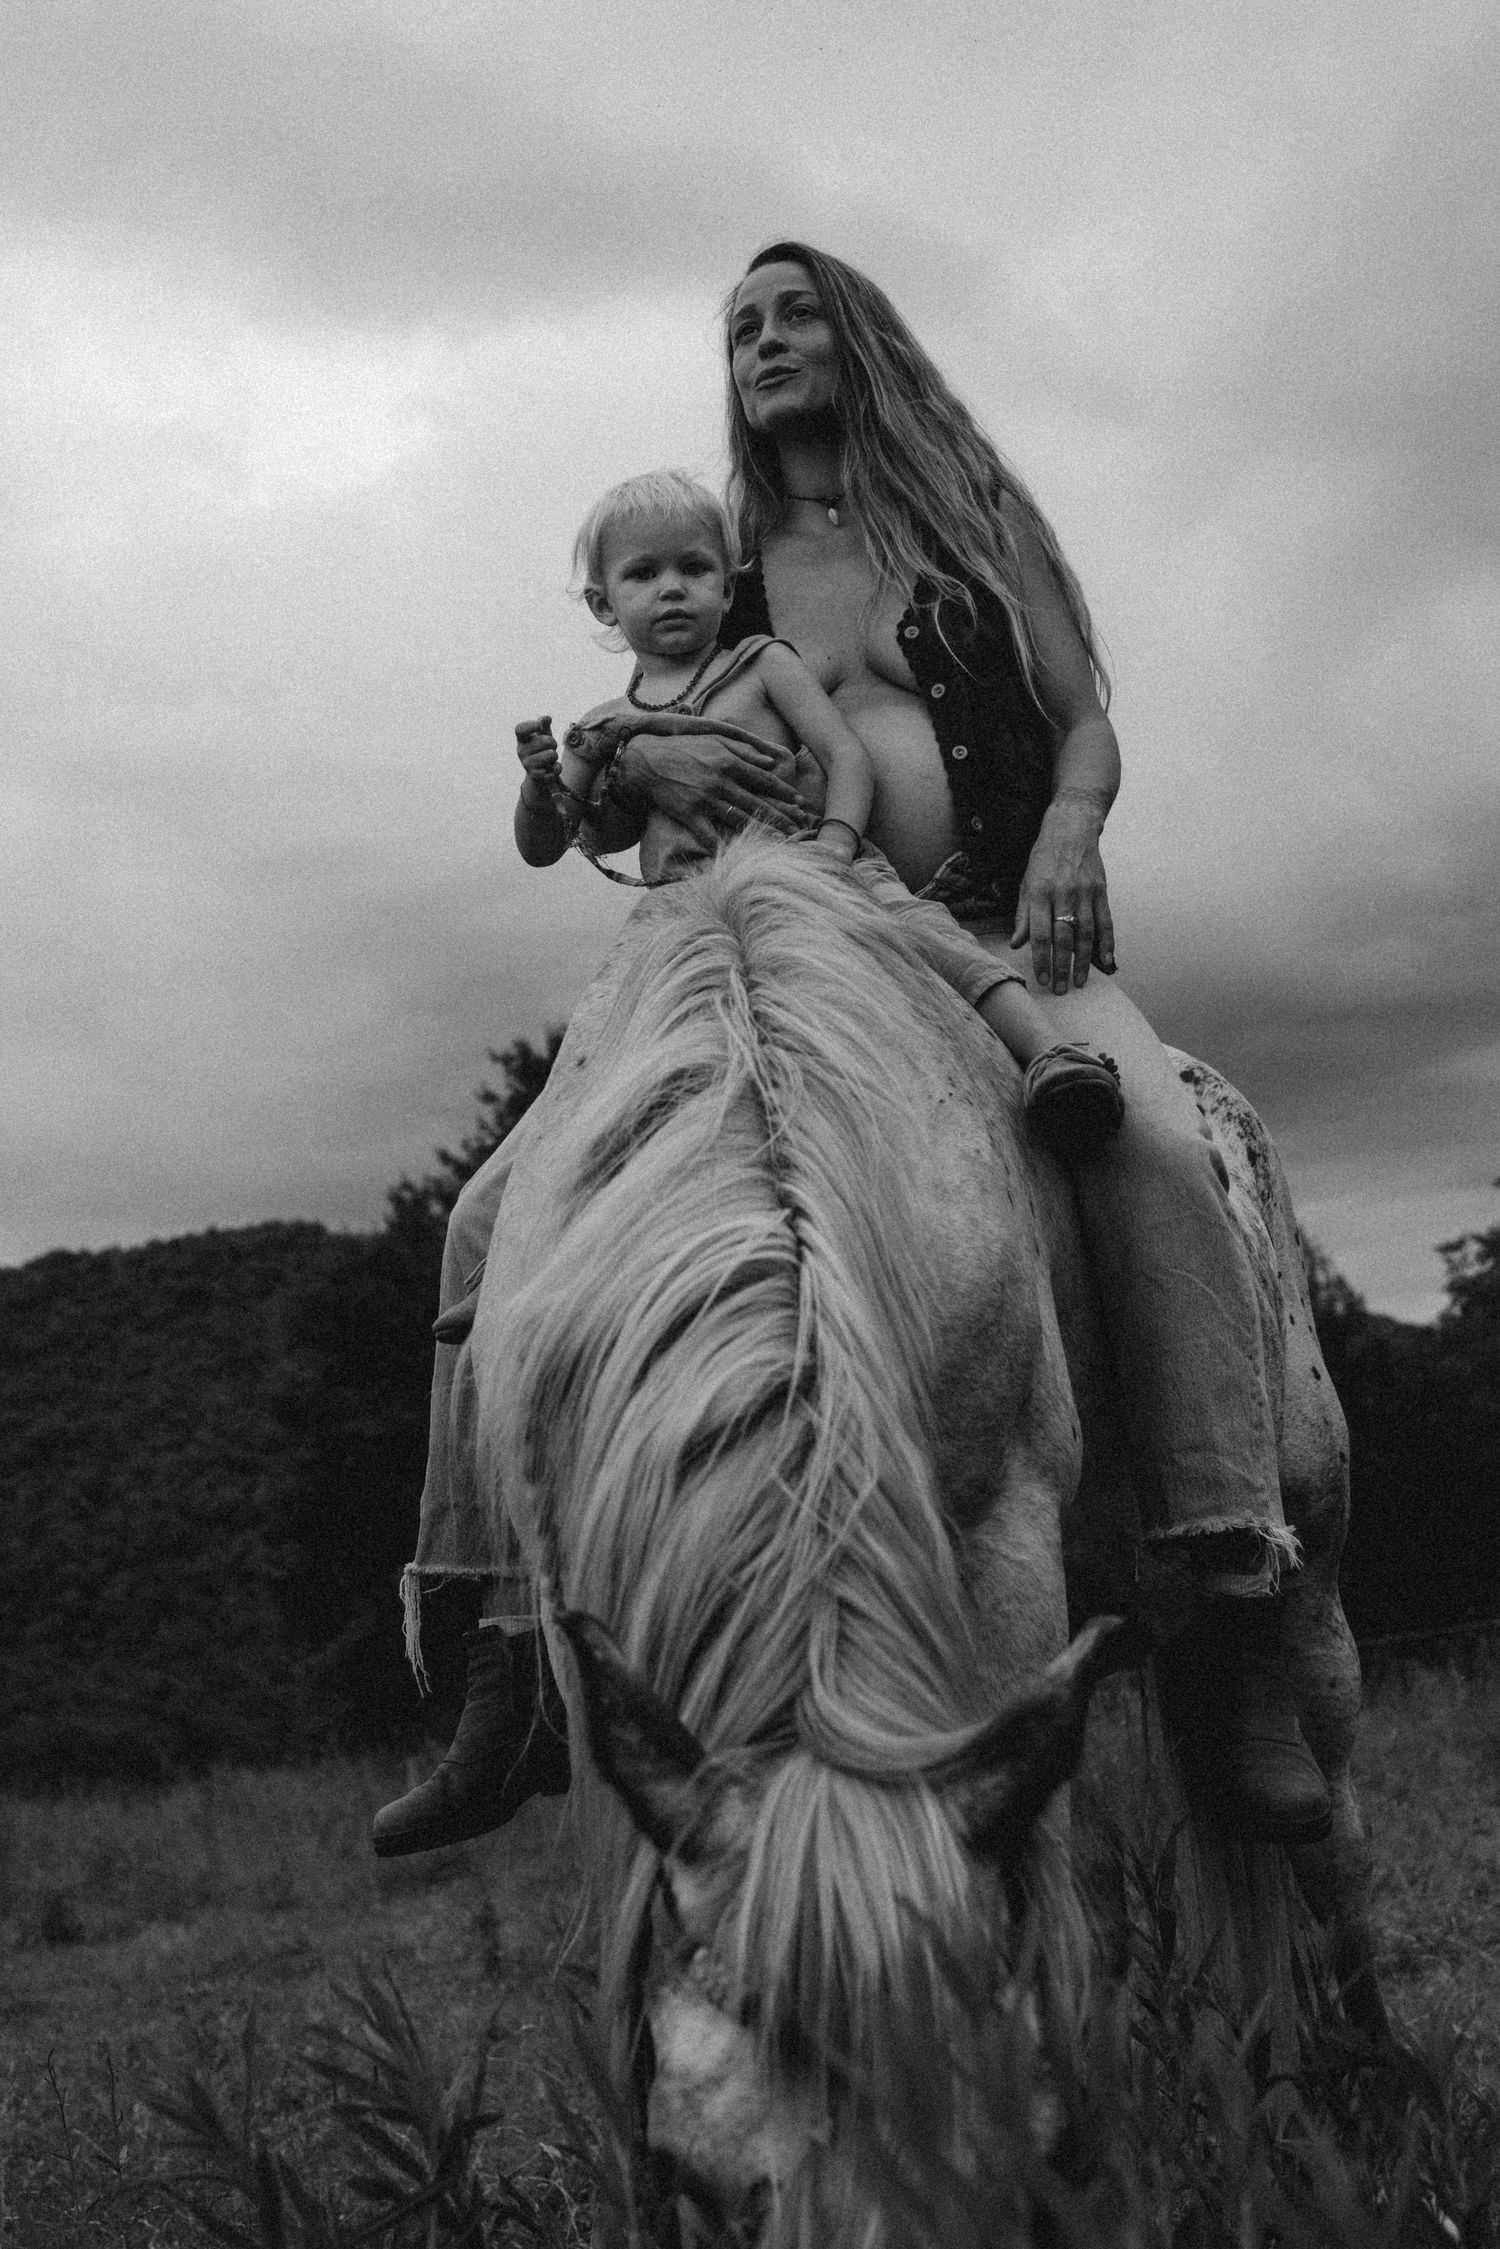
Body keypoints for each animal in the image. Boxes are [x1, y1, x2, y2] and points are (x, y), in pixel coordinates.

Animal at [467, 832, 1376, 2243]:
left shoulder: (1005, 1563)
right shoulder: (588, 1629)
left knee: (1328, 1841)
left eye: (1023, 2143)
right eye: (702, 2178)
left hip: (1311, 1583)